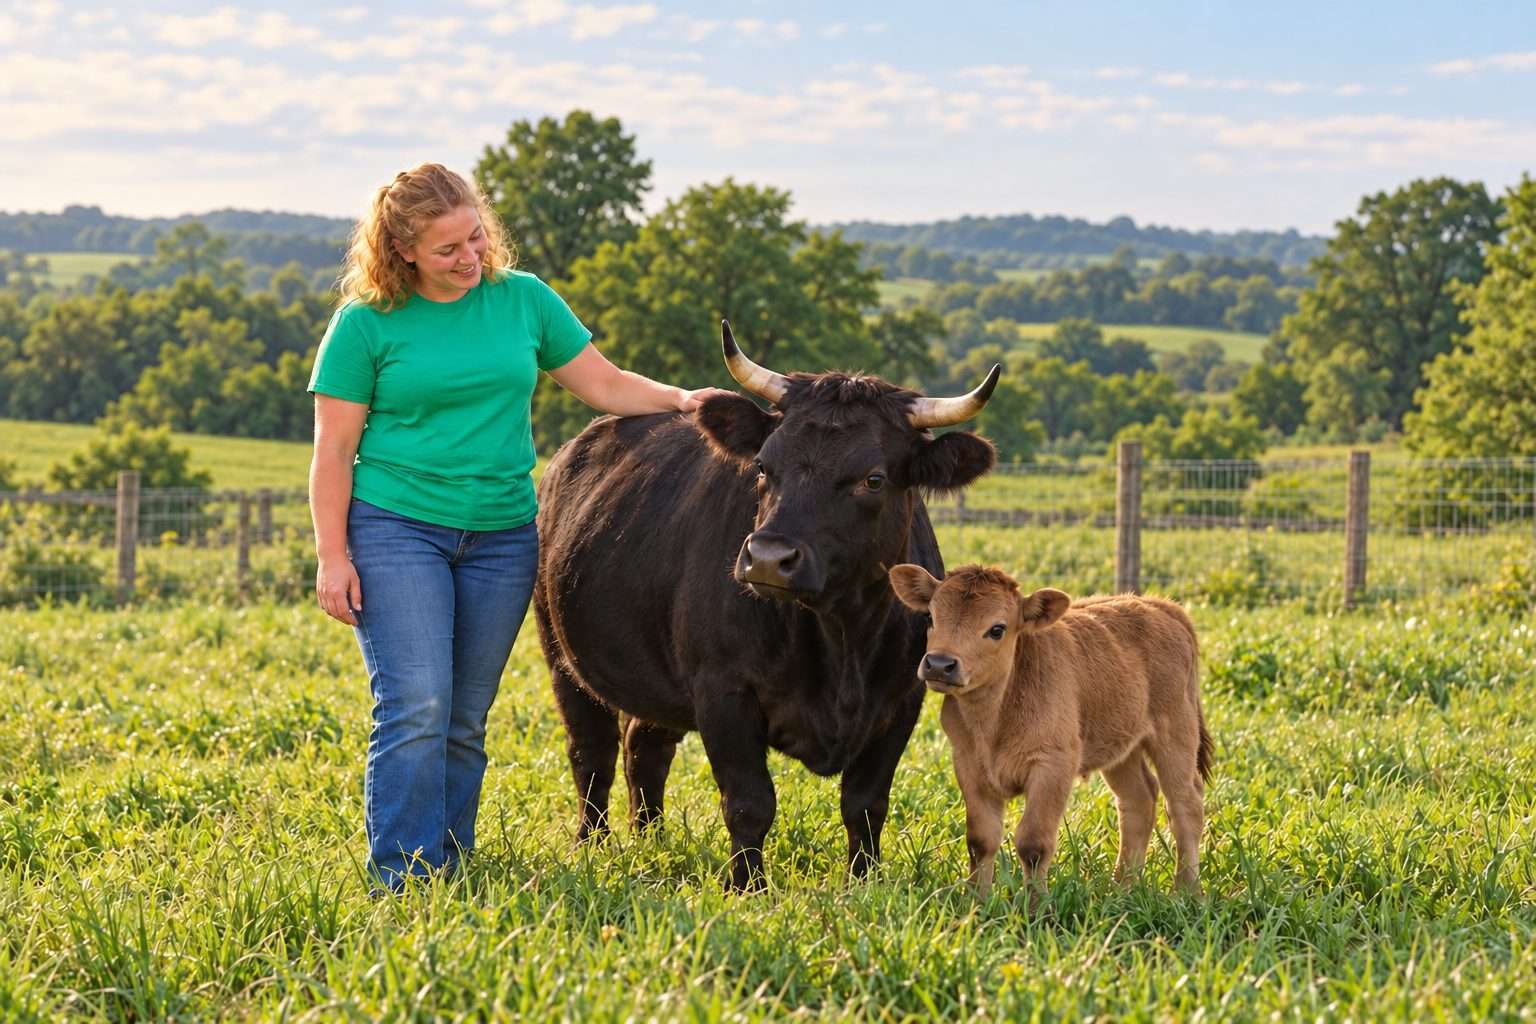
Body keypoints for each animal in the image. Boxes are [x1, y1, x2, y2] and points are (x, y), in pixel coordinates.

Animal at [533, 322, 999, 890]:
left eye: (873, 478)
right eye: (762, 466)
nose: (769, 559)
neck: (840, 635)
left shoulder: (902, 700)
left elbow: (865, 804)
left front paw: (862, 880)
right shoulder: (722, 691)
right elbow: (749, 802)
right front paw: (746, 886)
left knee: (644, 747)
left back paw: (652, 842)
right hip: (562, 657)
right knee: (592, 754)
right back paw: (594, 847)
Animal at [887, 563, 1213, 898]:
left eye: (997, 629)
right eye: (930, 617)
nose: (940, 664)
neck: (995, 718)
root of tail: (1159, 606)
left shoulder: (1053, 765)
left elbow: (1033, 844)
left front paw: (1036, 905)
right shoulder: (968, 764)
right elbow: (981, 839)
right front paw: (976, 901)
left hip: (1175, 733)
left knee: (1185, 804)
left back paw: (1187, 891)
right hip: (1122, 747)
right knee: (1138, 800)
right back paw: (1122, 888)